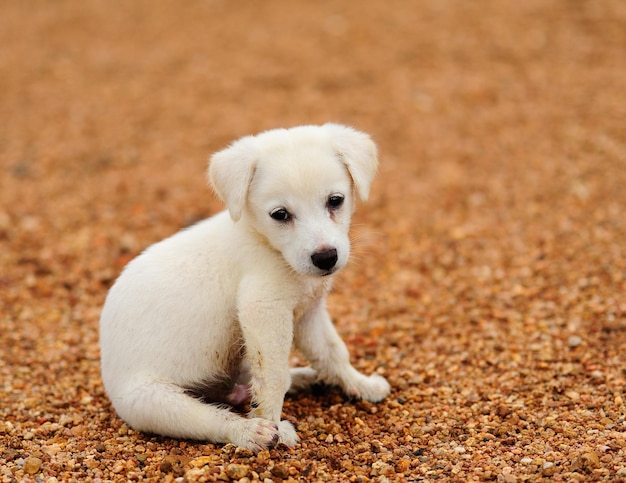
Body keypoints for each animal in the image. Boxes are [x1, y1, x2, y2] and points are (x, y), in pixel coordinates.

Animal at [99, 124, 388, 450]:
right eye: (280, 214)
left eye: (335, 200)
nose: (326, 258)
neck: (268, 245)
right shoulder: (263, 308)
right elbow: (273, 377)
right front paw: (274, 425)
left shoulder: (308, 313)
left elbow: (334, 352)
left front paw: (360, 384)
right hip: (153, 402)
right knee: (214, 419)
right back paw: (253, 431)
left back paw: (302, 378)